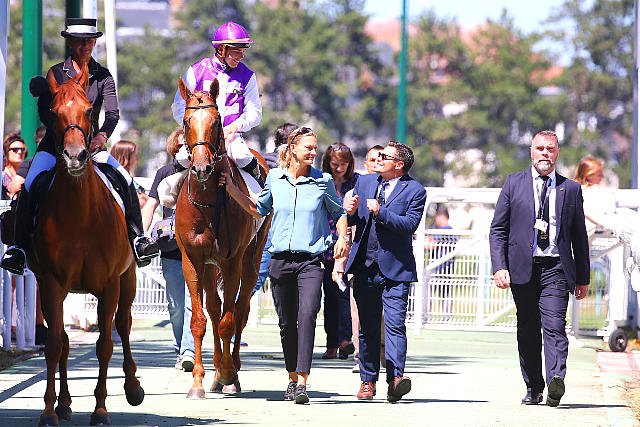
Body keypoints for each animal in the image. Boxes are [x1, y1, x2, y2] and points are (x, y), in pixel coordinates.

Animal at [28, 66, 144, 426]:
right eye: (52, 113)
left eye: (90, 111)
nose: (76, 156)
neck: (80, 214)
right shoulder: (51, 283)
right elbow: (54, 344)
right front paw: (48, 411)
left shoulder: (109, 284)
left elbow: (105, 344)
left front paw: (101, 410)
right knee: (64, 341)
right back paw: (65, 404)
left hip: (128, 280)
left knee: (124, 325)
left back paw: (133, 387)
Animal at [174, 77, 271, 398]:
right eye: (187, 121)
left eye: (217, 122)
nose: (202, 167)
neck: (208, 203)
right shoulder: (193, 260)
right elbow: (201, 320)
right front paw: (198, 381)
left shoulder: (231, 261)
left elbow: (229, 320)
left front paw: (228, 372)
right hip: (209, 266)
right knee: (216, 312)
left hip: (251, 260)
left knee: (239, 310)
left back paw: (231, 370)